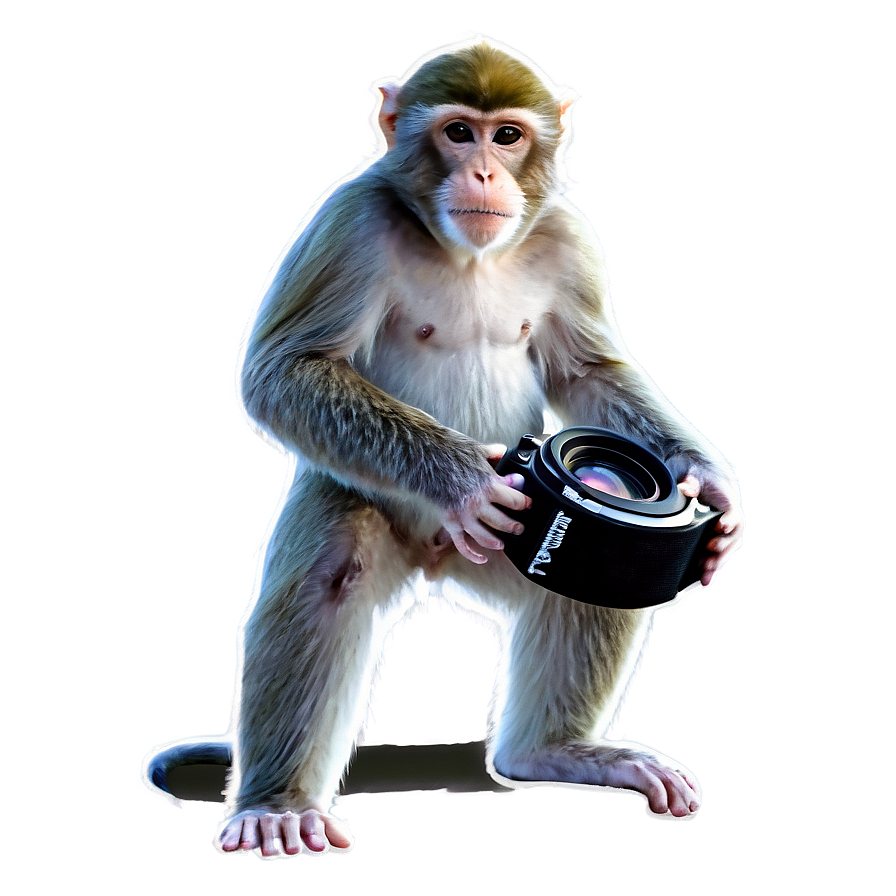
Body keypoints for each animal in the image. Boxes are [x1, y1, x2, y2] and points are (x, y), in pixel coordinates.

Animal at [147, 38, 743, 857]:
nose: (485, 172)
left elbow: (586, 373)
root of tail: (437, 563)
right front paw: (466, 480)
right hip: (383, 502)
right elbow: (287, 370)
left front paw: (705, 480)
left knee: (600, 580)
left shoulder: (569, 239)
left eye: (508, 136)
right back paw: (277, 803)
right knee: (326, 578)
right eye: (459, 133)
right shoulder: (348, 221)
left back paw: (552, 752)